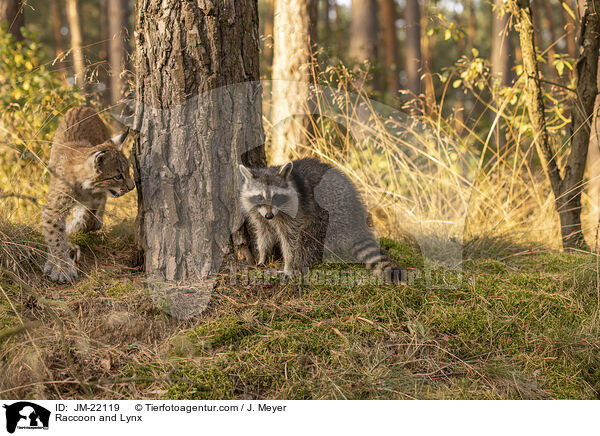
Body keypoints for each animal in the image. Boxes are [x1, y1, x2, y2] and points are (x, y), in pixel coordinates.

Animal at [238, 157, 404, 282]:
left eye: (276, 197)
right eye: (260, 197)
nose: (269, 216)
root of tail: (356, 218)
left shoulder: (295, 212)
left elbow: (291, 239)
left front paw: (289, 265)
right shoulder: (258, 213)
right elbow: (263, 232)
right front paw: (262, 254)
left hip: (331, 214)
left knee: (308, 238)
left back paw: (299, 265)